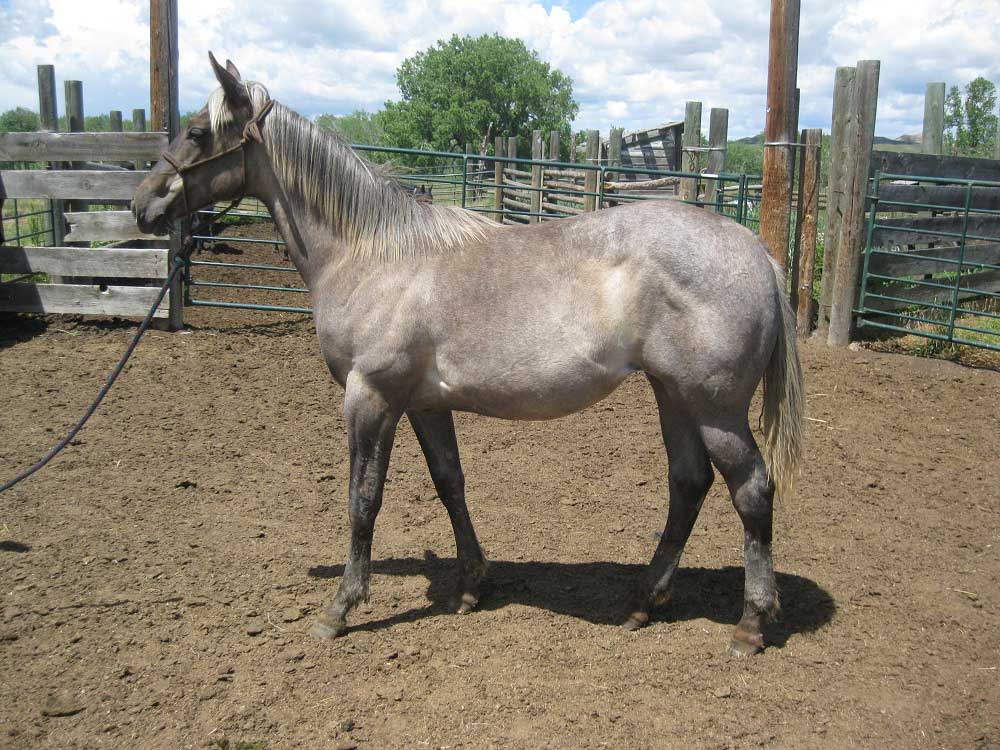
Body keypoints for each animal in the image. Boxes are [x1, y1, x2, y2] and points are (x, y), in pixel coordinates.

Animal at [133, 55, 804, 656]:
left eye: (198, 133)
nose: (142, 204)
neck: (373, 256)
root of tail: (756, 251)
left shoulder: (370, 397)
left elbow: (363, 498)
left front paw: (342, 606)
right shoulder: (425, 404)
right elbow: (449, 482)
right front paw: (471, 586)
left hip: (715, 410)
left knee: (751, 492)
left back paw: (750, 624)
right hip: (673, 396)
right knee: (688, 484)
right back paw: (644, 600)